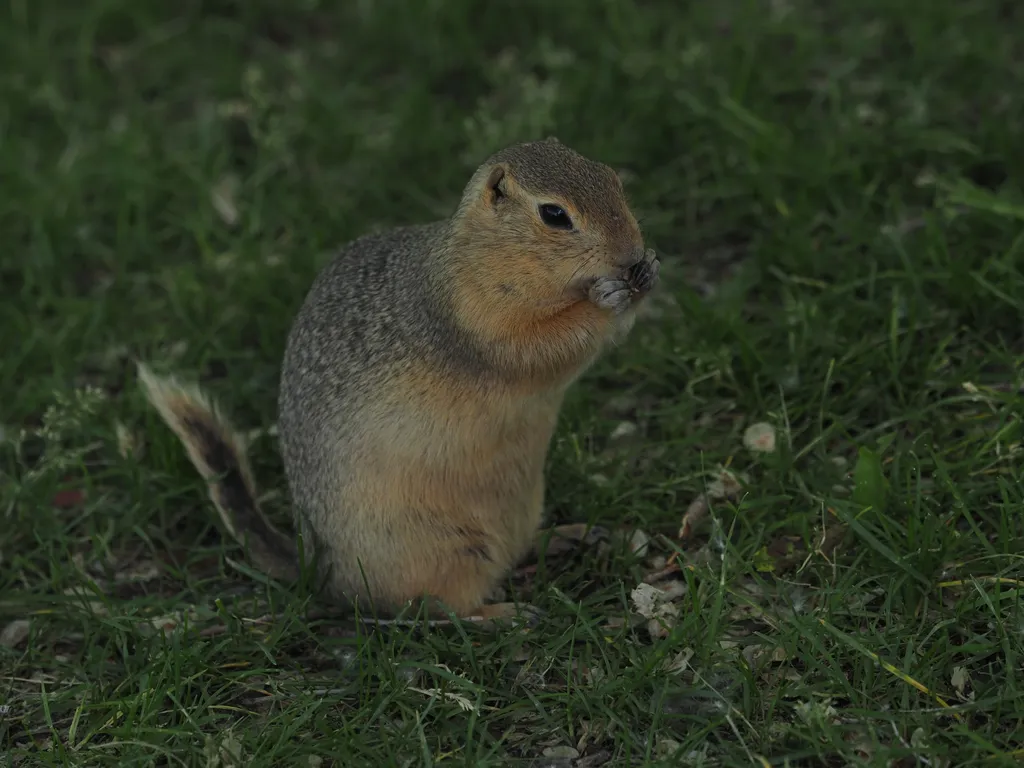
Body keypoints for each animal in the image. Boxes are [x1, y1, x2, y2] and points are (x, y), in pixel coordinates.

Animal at [139, 137, 660, 624]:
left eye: (611, 177)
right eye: (554, 215)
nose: (631, 254)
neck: (484, 254)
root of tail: (323, 574)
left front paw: (648, 272)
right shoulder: (471, 317)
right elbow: (539, 347)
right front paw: (606, 299)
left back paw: (572, 536)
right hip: (445, 551)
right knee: (437, 609)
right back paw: (504, 614)